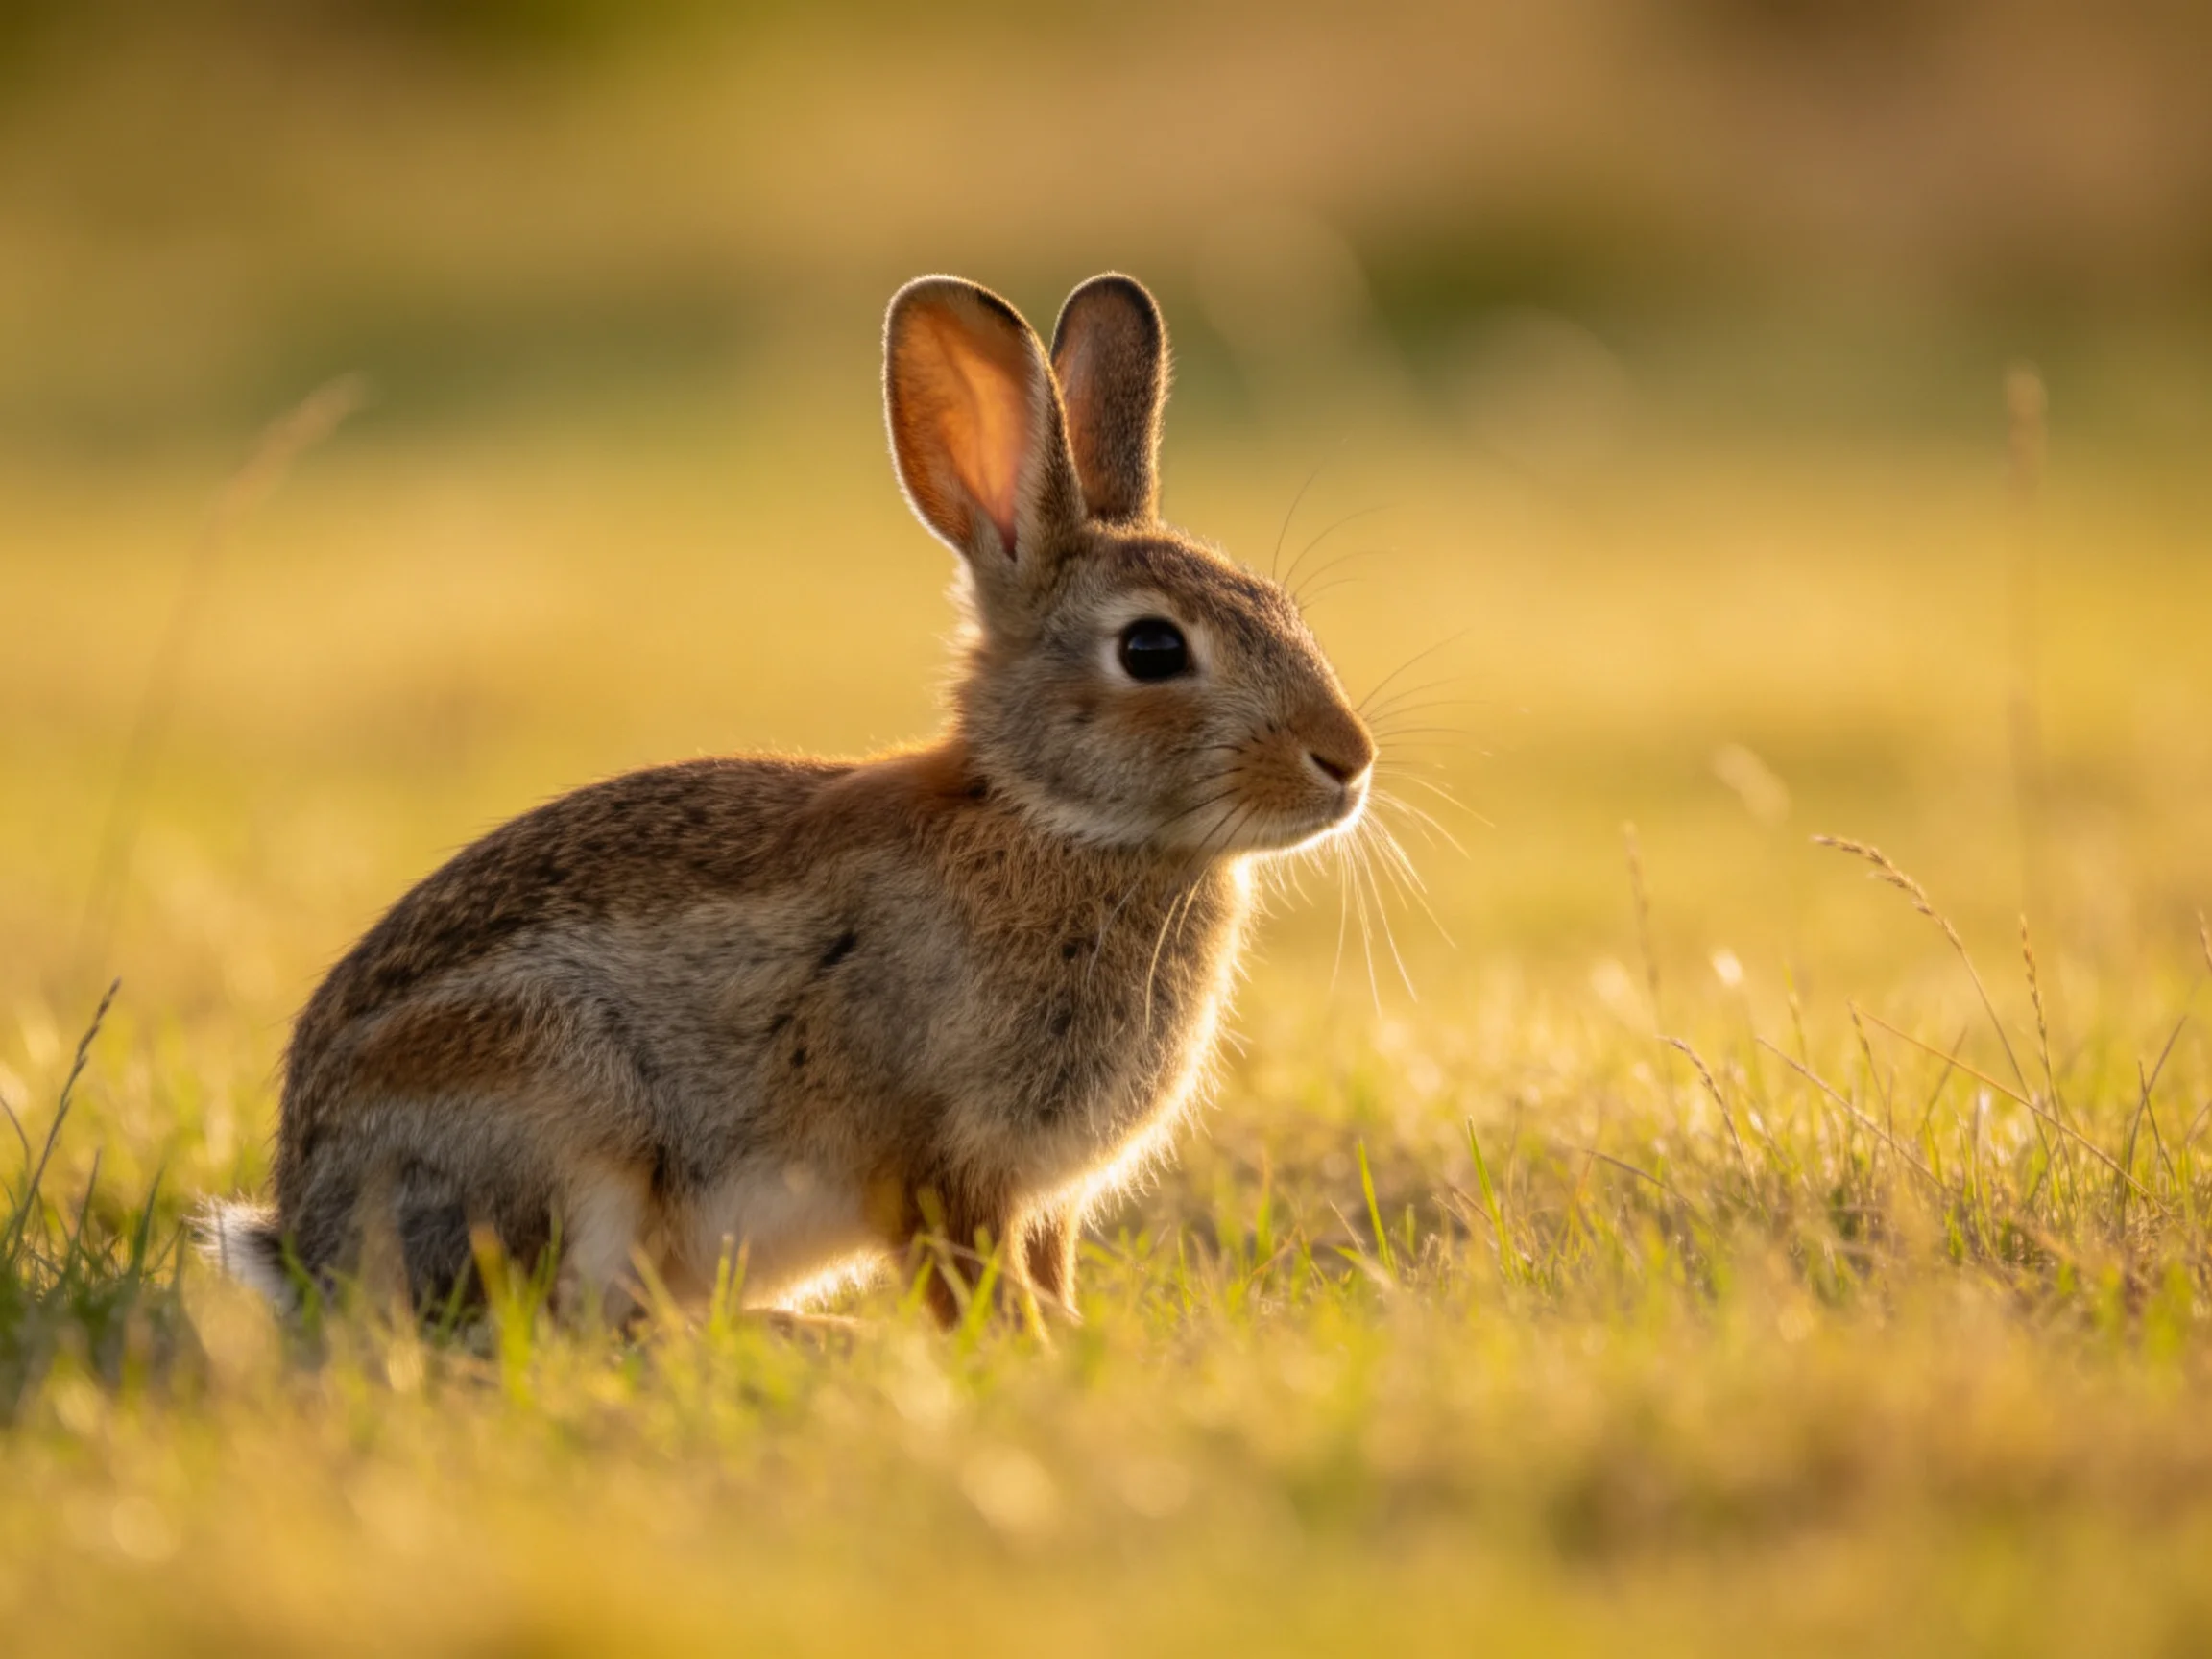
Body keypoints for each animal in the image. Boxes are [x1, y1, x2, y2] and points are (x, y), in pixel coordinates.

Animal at [202, 272, 1376, 1327]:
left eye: (1283, 608)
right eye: (1152, 650)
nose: (1348, 761)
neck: (1048, 816)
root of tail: (306, 1247)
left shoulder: (1042, 1201)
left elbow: (1044, 1279)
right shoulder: (941, 1166)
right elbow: (976, 1290)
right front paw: (1029, 1364)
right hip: (552, 1105)